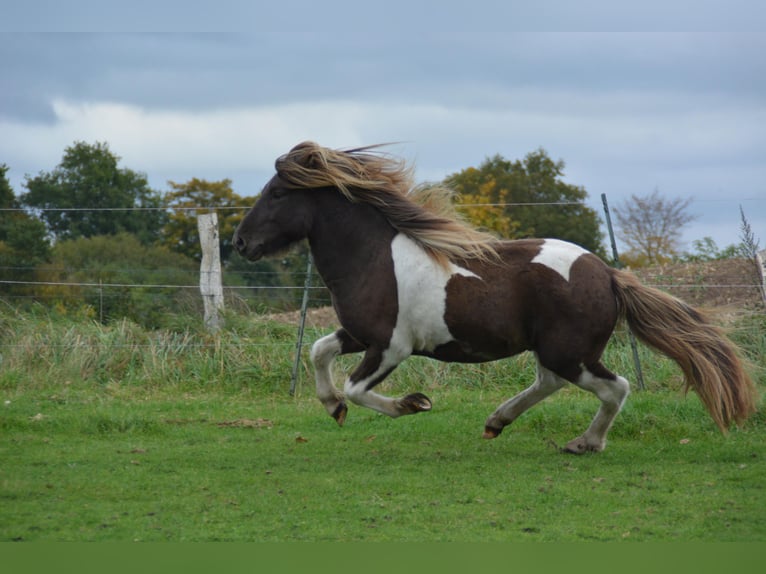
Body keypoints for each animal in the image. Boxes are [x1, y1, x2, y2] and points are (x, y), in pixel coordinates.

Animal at [233, 141, 758, 453]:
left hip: (571, 352)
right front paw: (332, 407)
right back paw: (496, 422)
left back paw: (583, 443)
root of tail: (607, 274)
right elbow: (318, 352)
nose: (240, 243)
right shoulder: (359, 334)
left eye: (277, 193)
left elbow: (359, 388)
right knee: (550, 383)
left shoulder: (391, 346)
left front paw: (413, 404)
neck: (374, 258)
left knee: (615, 387)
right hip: (558, 351)